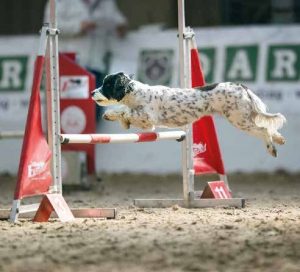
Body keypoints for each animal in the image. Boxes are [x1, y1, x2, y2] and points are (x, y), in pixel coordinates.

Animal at [92, 71, 288, 157]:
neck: (135, 92)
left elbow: (126, 111)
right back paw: (279, 139)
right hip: (243, 117)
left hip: (239, 119)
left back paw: (272, 148)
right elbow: (125, 112)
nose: (93, 92)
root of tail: (241, 86)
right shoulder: (147, 125)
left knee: (263, 130)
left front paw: (113, 114)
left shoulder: (148, 118)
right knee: (268, 128)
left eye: (107, 84)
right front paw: (116, 118)